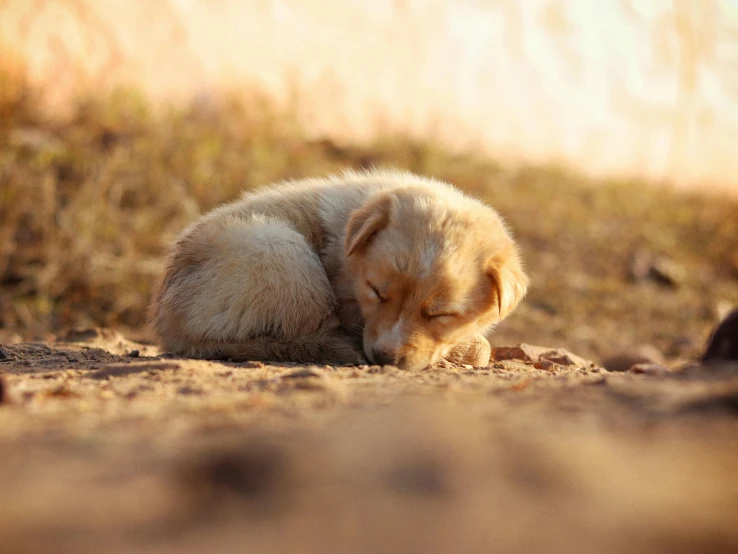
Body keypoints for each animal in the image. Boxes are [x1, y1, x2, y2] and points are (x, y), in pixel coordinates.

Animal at [150, 168, 528, 366]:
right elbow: (480, 349)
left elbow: (479, 344)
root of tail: (170, 327)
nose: (385, 358)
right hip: (277, 248)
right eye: (377, 292)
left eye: (441, 314)